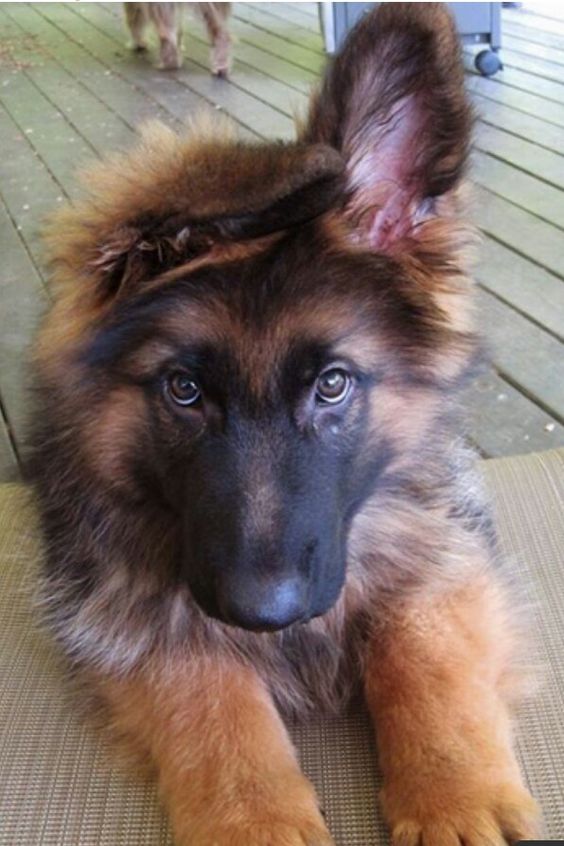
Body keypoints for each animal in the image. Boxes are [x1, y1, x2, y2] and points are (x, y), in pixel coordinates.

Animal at [30, 6, 536, 846]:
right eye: (184, 389)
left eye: (333, 385)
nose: (261, 614)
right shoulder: (116, 611)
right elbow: (206, 693)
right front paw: (256, 818)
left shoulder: (445, 540)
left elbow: (423, 644)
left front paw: (454, 793)